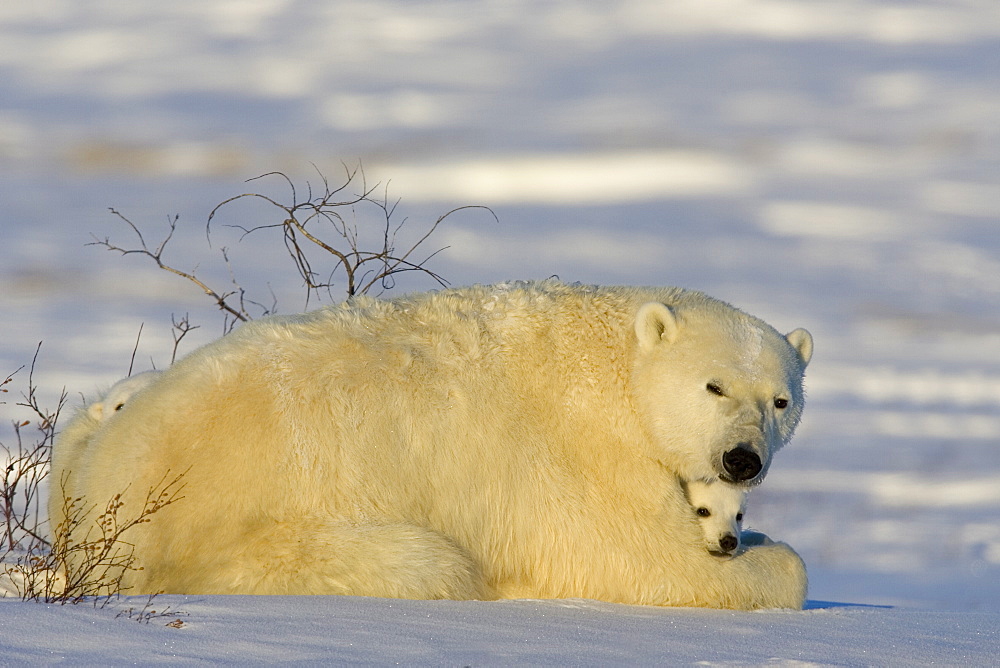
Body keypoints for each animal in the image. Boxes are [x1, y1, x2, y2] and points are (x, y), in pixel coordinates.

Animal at [54, 282, 812, 612]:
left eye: (780, 400)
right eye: (713, 385)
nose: (742, 459)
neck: (617, 364)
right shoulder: (587, 454)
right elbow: (643, 560)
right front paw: (767, 559)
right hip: (257, 533)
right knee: (428, 563)